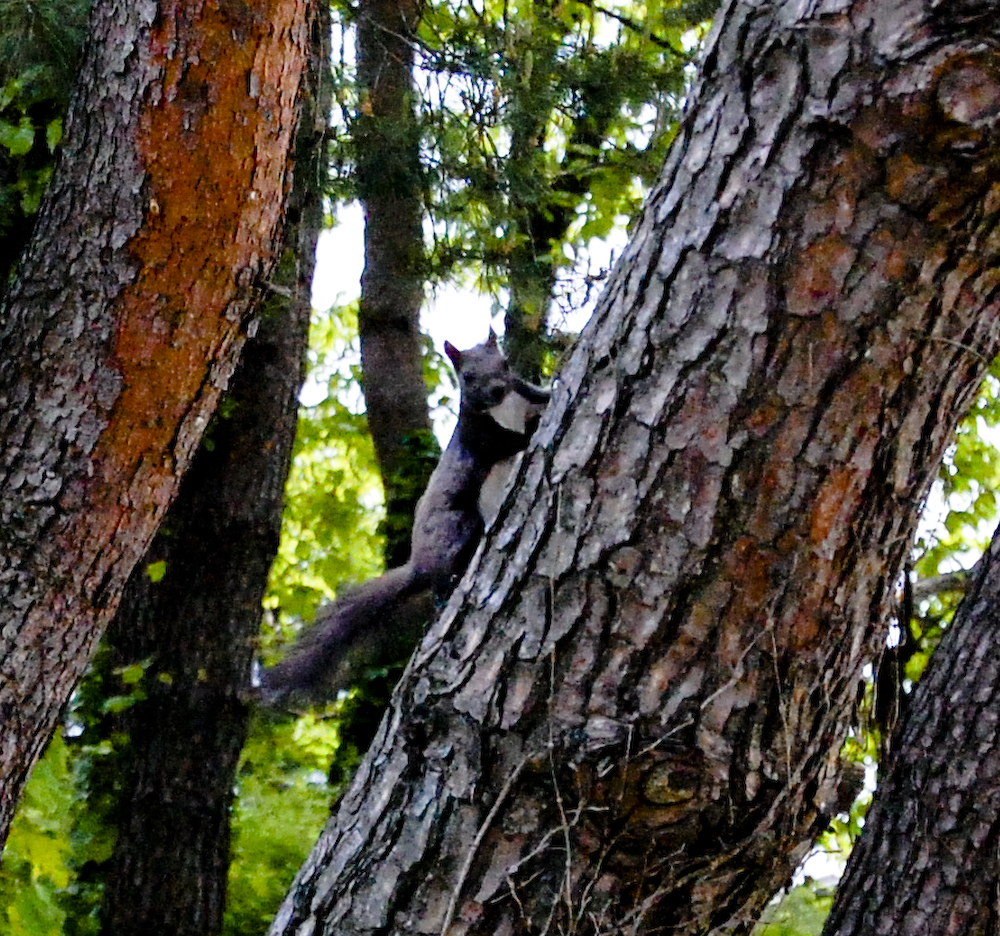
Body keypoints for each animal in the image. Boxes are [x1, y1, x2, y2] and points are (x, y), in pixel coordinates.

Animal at [258, 330, 552, 704]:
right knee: (443, 573)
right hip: (457, 526)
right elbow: (513, 441)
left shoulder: (523, 393)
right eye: (468, 377)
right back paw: (448, 582)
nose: (497, 390)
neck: (503, 409)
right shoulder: (483, 438)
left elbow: (540, 397)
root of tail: (418, 566)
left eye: (504, 363)